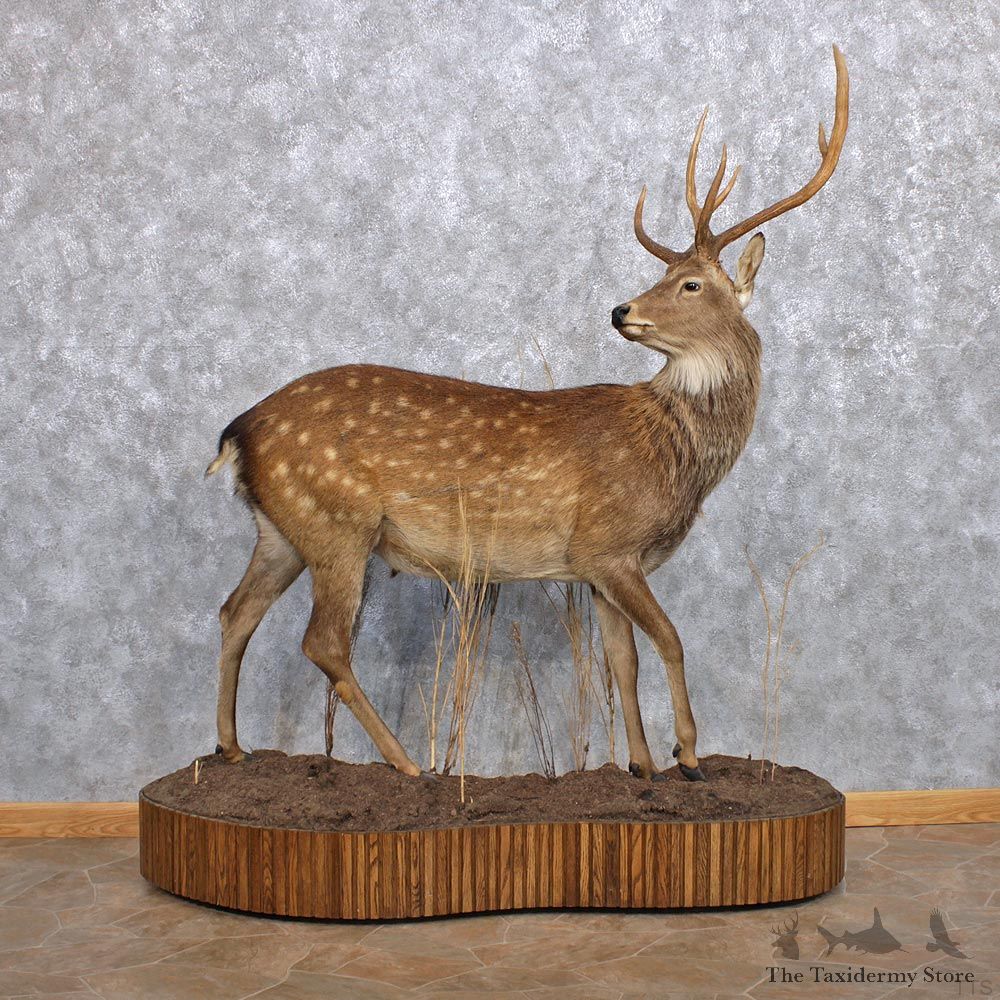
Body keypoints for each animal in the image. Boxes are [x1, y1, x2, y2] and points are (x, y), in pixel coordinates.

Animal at [206, 46, 848, 783]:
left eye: (690, 283)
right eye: (667, 277)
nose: (622, 309)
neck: (675, 456)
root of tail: (237, 432)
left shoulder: (597, 566)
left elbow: (621, 661)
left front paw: (640, 767)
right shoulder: (609, 543)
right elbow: (671, 641)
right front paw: (686, 755)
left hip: (282, 528)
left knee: (234, 613)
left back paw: (231, 746)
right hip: (340, 521)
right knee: (324, 642)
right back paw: (408, 765)